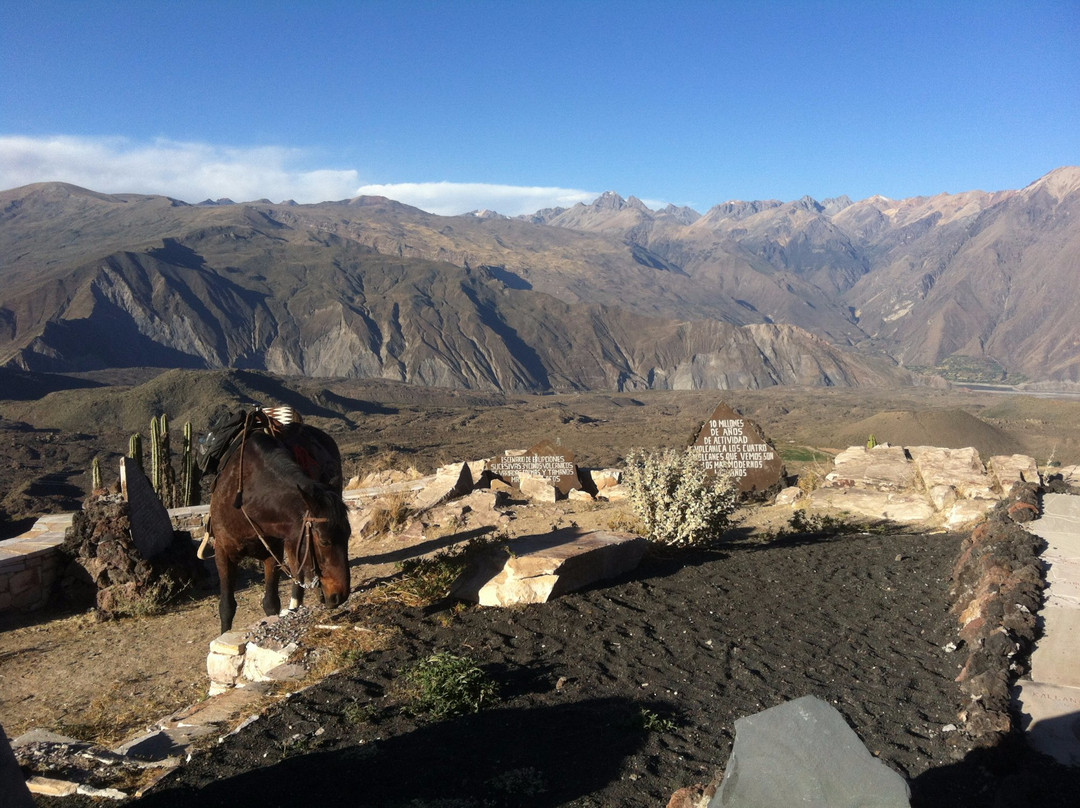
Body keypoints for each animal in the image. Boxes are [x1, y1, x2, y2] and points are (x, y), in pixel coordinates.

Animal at [208, 417, 351, 634]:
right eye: (324, 541)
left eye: (349, 536)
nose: (340, 595)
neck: (245, 498)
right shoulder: (223, 552)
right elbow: (227, 607)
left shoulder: (273, 551)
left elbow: (271, 603)